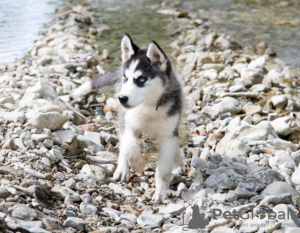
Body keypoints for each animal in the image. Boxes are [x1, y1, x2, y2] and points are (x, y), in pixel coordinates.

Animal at [73, 33, 185, 201]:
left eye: (141, 80)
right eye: (125, 78)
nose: (122, 98)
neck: (149, 107)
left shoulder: (168, 134)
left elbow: (164, 167)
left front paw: (161, 191)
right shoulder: (128, 124)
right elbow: (130, 145)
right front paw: (137, 164)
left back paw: (178, 163)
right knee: (124, 144)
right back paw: (122, 169)